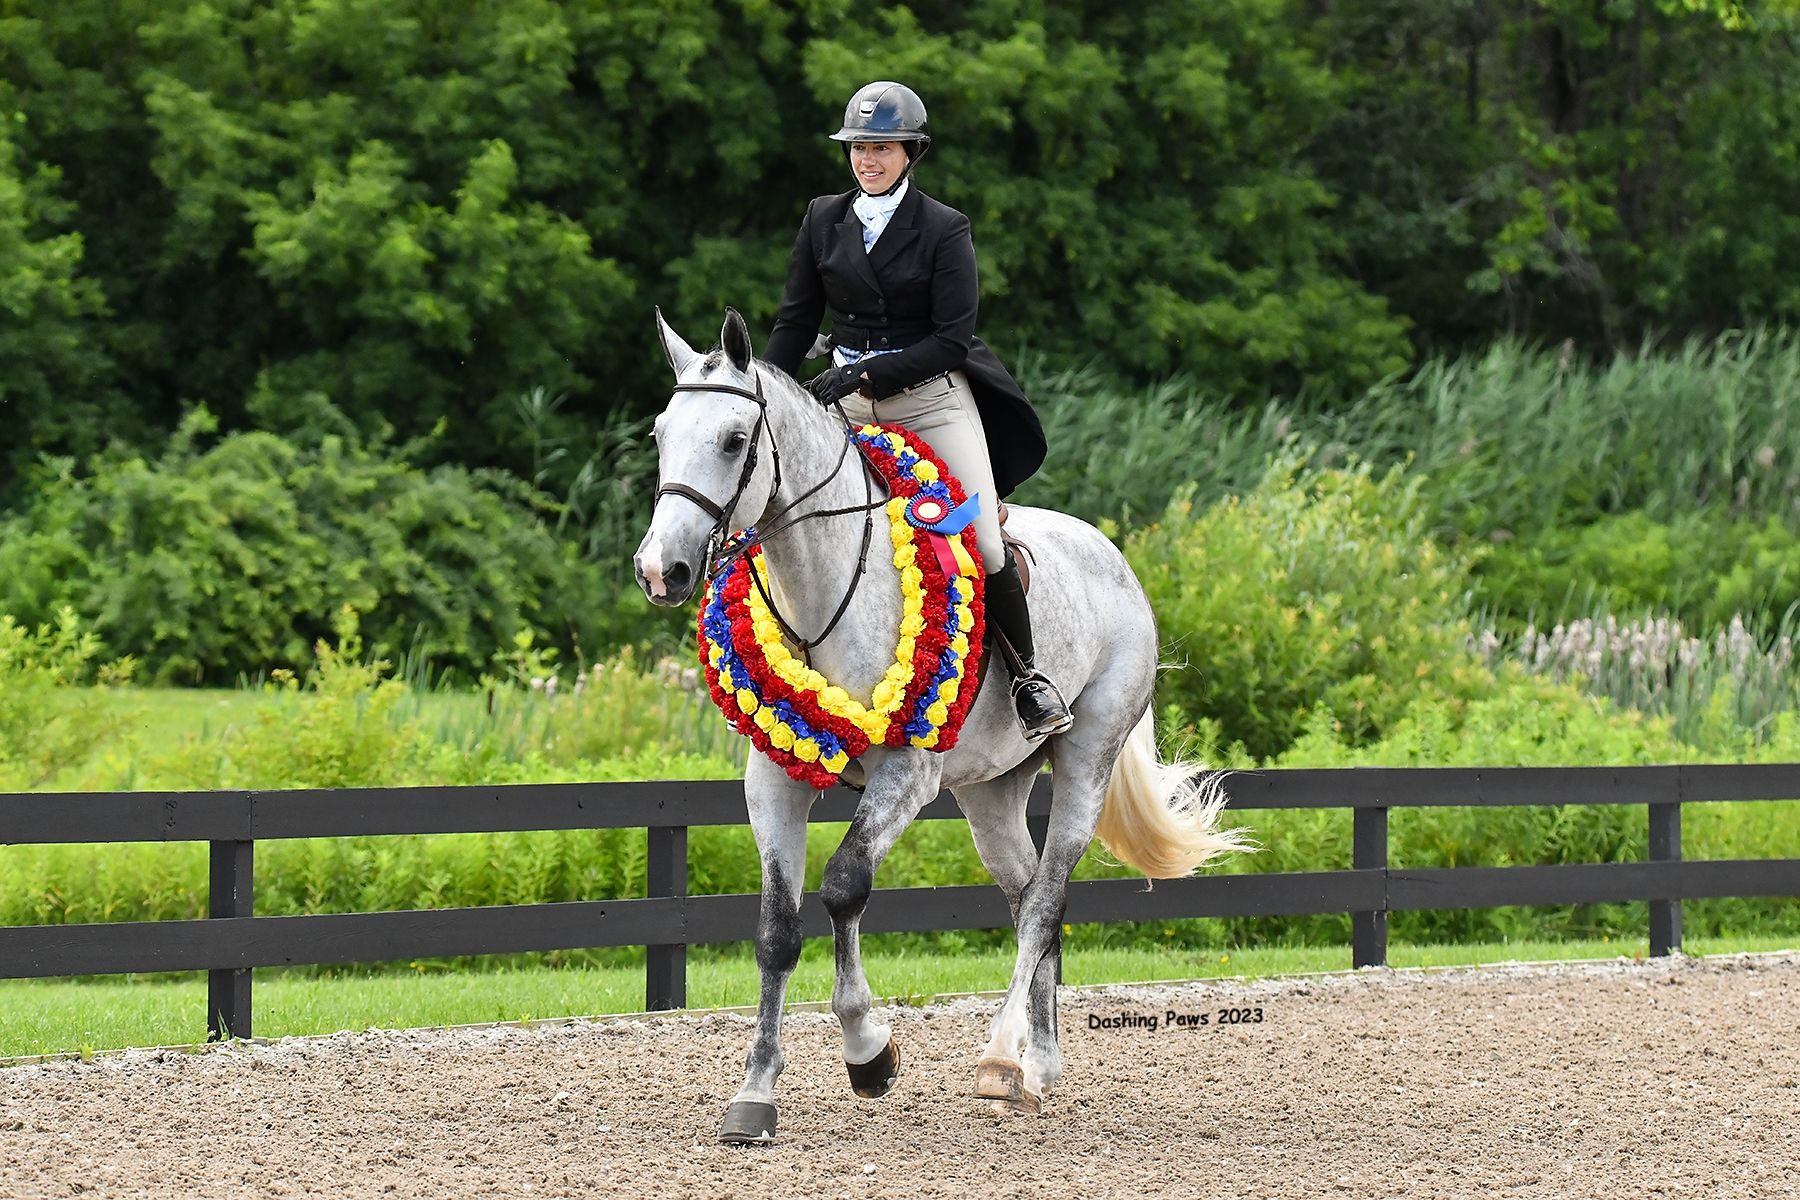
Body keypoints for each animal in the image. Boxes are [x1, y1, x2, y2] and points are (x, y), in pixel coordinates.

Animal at [637, 305, 1252, 1144]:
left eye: (734, 440)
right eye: (661, 433)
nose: (658, 571)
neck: (823, 585)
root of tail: (1113, 558)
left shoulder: (905, 773)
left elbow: (844, 887)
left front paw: (868, 1052)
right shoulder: (774, 778)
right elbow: (776, 929)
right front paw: (755, 1094)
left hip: (1086, 759)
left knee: (1045, 901)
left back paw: (999, 1060)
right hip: (991, 791)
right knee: (1027, 897)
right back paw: (1038, 1066)